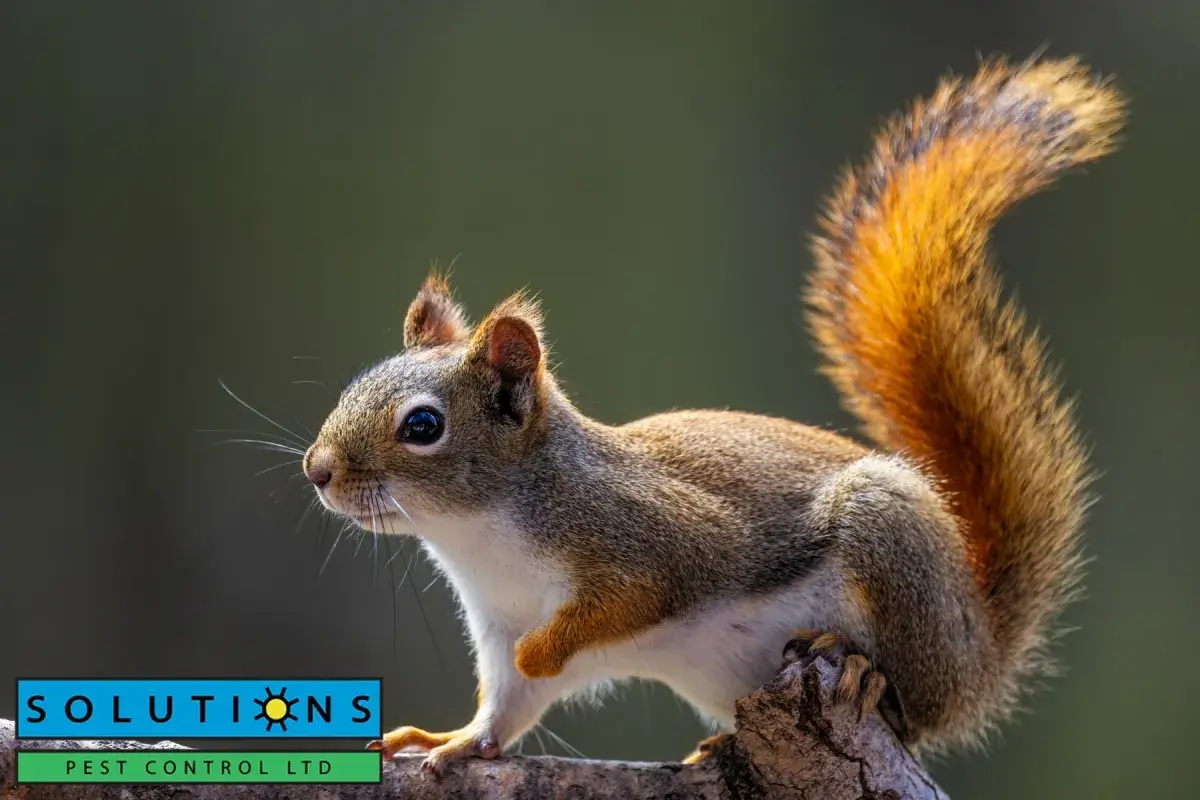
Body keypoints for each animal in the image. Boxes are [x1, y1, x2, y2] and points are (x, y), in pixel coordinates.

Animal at [301, 55, 1124, 774]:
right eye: (354, 386)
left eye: (422, 427)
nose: (317, 470)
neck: (482, 535)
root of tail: (979, 656)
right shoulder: (498, 625)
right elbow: (508, 705)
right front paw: (457, 740)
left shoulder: (657, 540)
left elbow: (624, 604)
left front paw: (547, 648)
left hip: (890, 544)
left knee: (912, 704)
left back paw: (862, 669)